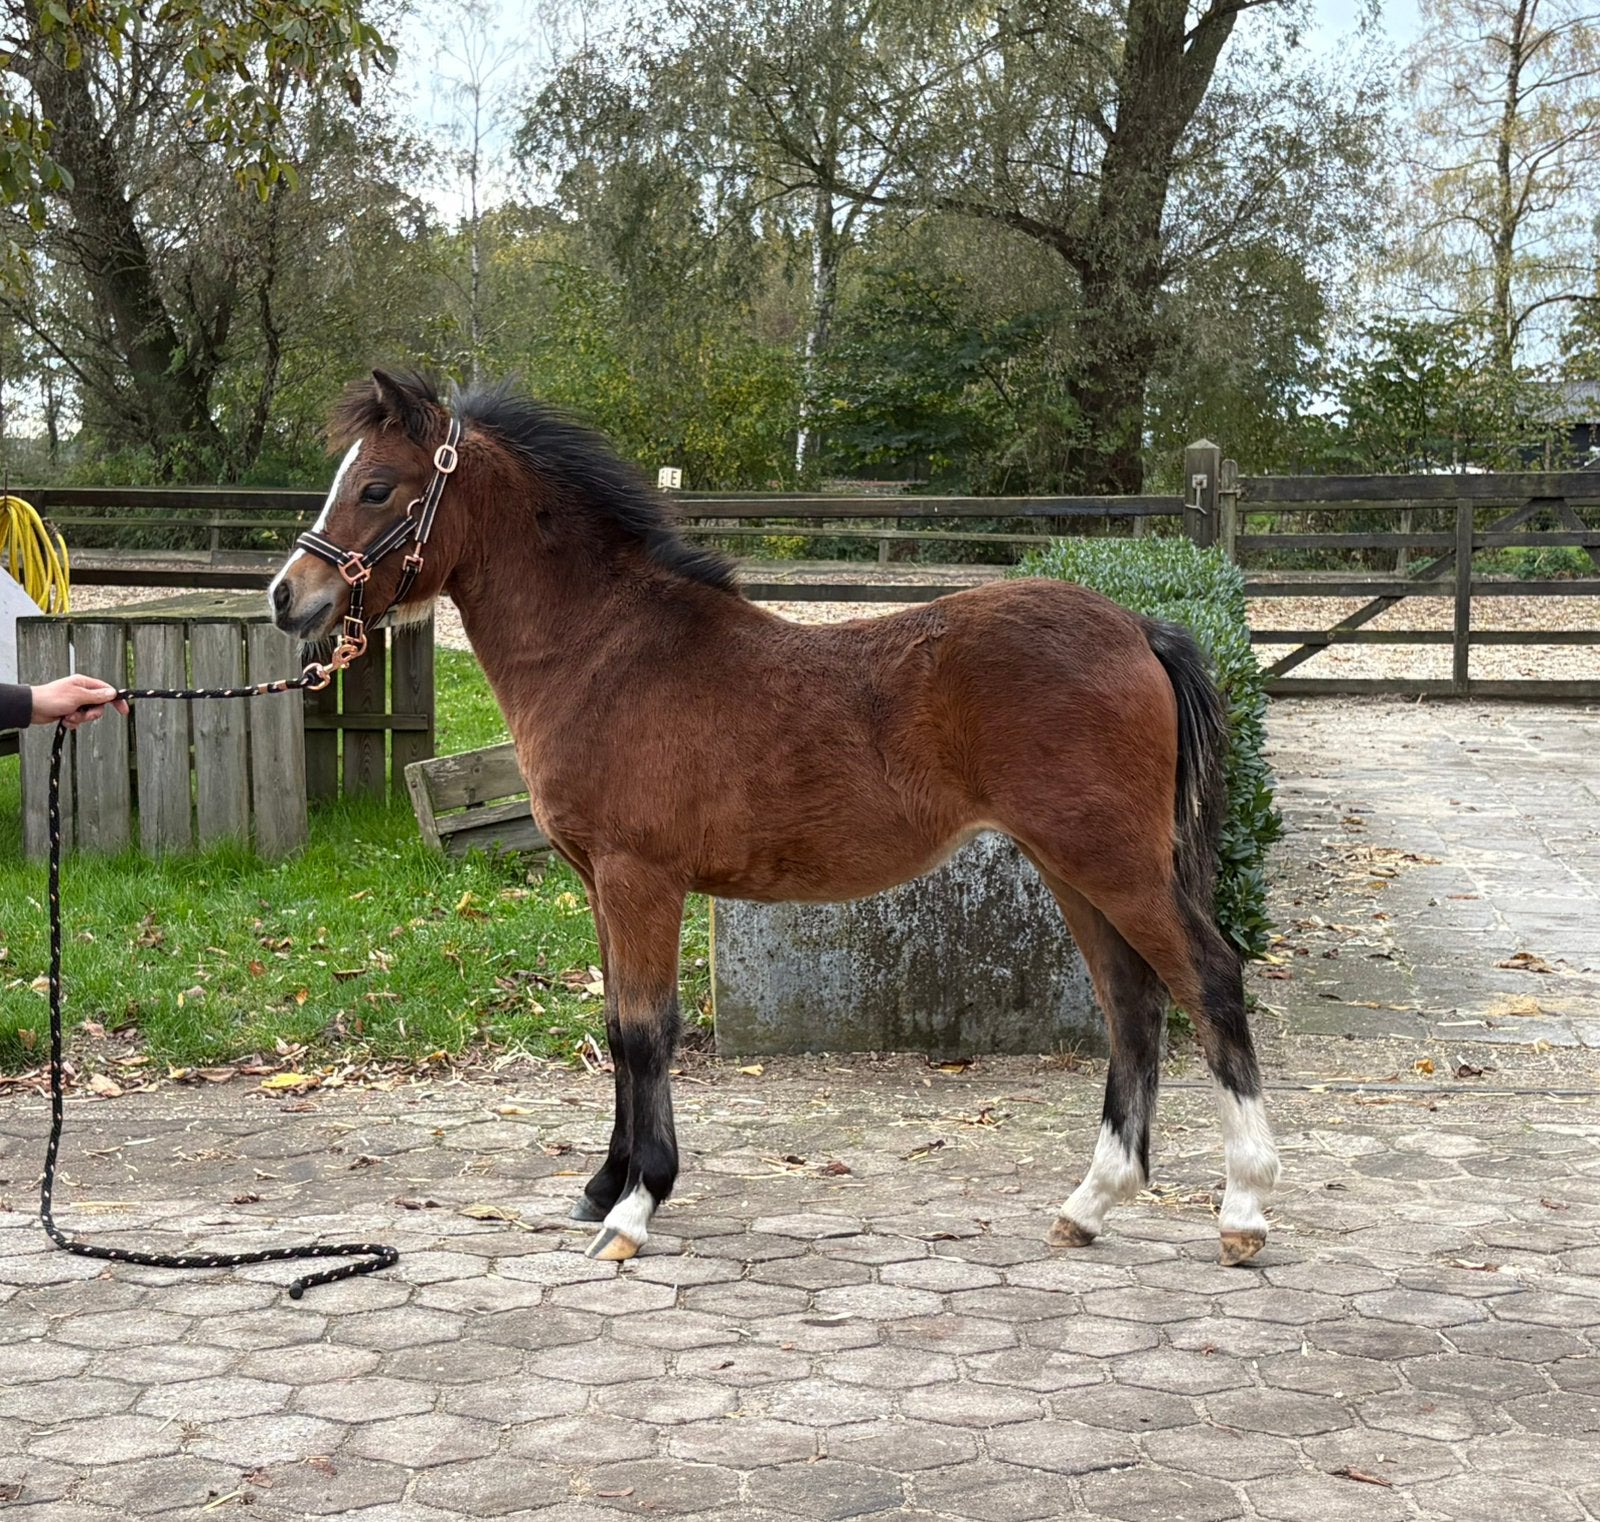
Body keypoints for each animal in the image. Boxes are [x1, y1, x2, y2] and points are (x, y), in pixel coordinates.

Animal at [268, 370, 1280, 1266]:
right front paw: (603, 1185)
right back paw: (1089, 1204)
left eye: (377, 485)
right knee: (1132, 1003)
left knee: (1208, 980)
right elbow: (616, 1027)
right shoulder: (598, 881)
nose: (288, 598)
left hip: (1113, 863)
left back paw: (1244, 1208)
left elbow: (648, 1031)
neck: (607, 651)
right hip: (1072, 868)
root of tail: (1140, 629)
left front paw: (634, 1210)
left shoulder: (641, 877)